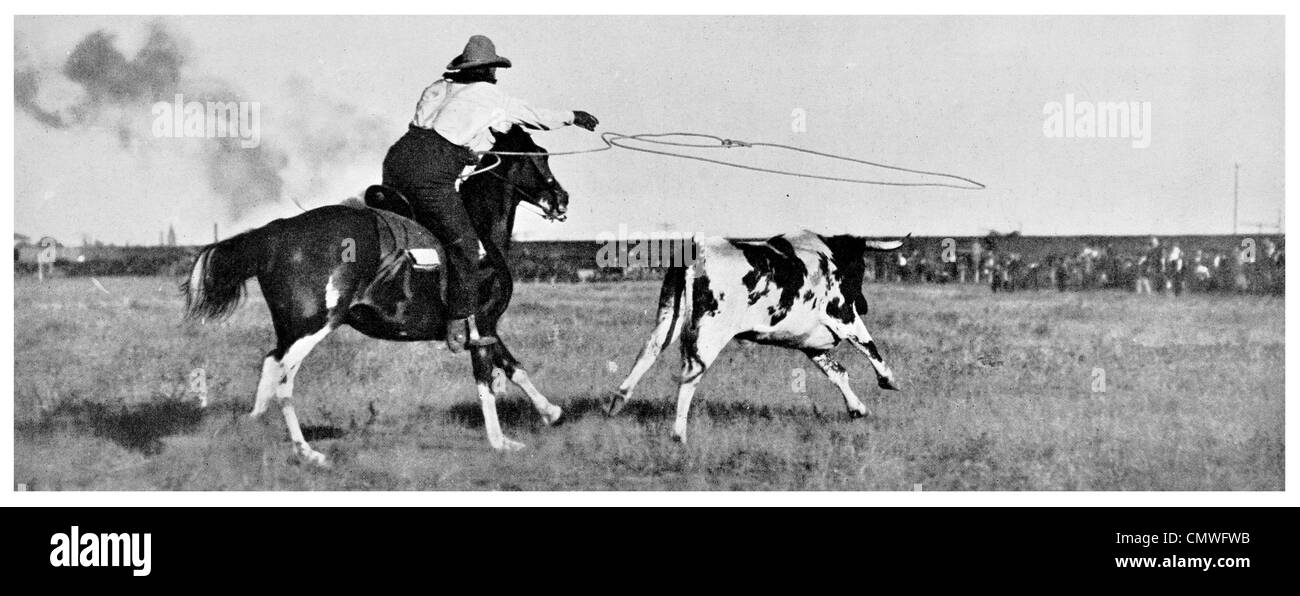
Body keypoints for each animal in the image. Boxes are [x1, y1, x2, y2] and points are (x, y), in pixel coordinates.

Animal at [183, 126, 569, 465]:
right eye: (540, 156)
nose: (562, 199)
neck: (480, 234)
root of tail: (275, 233)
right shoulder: (482, 324)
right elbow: (487, 381)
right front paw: (500, 442)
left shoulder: (487, 329)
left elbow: (515, 369)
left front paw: (552, 413)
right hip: (314, 326)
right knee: (282, 378)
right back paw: (308, 453)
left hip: (290, 328)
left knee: (269, 364)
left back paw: (255, 430)